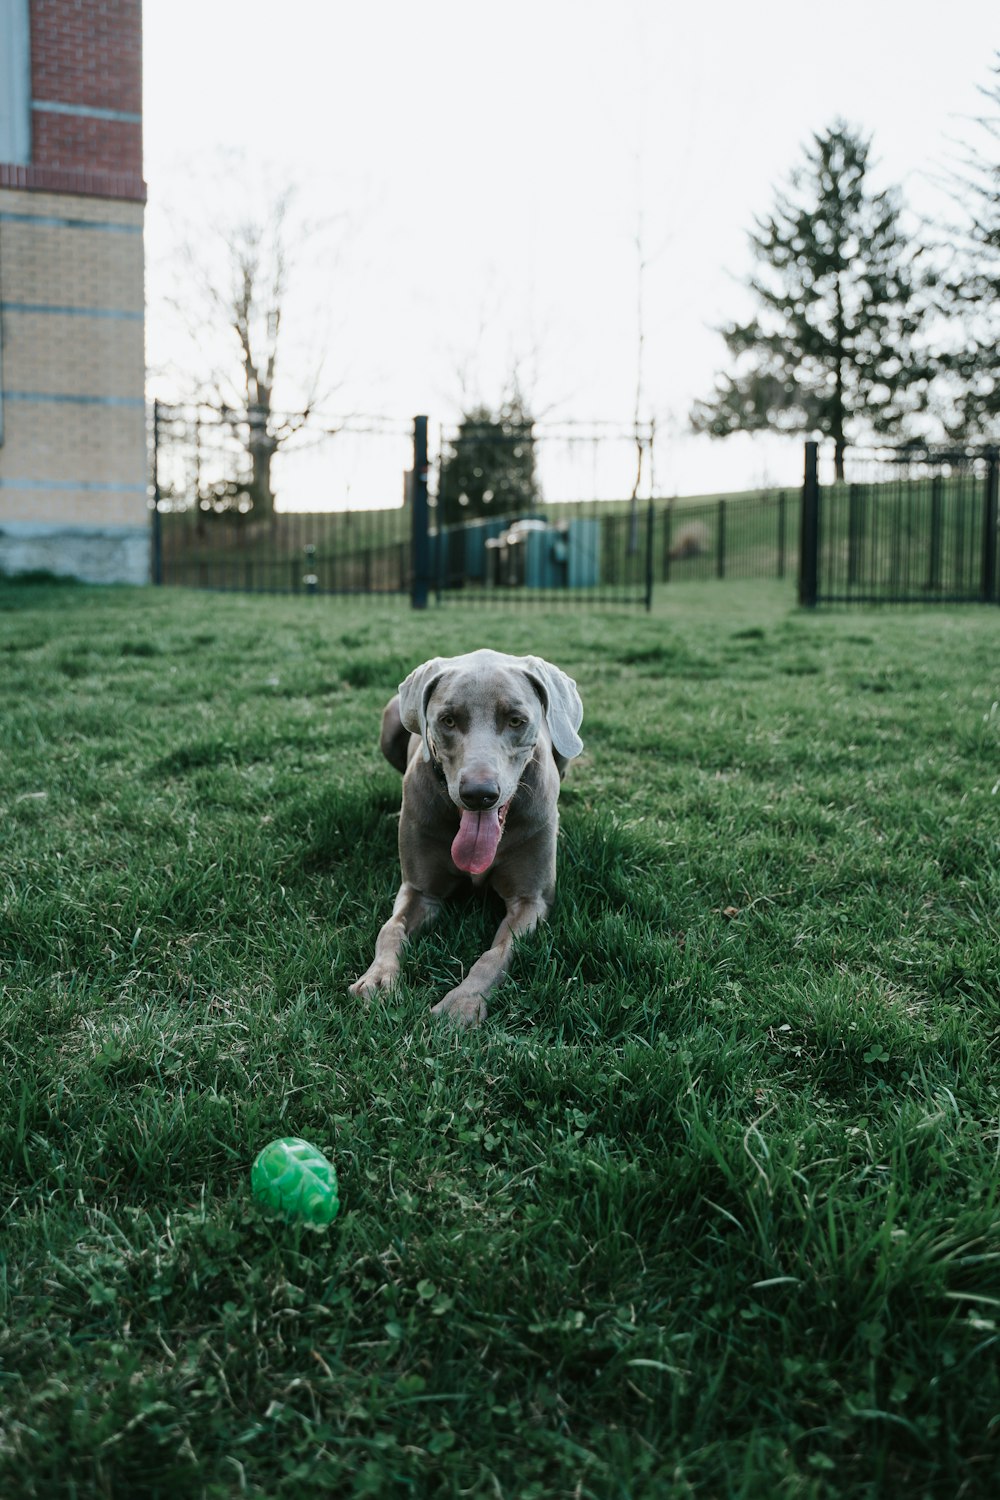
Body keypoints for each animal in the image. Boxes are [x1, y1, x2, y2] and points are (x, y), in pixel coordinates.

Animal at [352, 651, 587, 1026]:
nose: (479, 794)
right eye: (447, 720)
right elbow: (391, 928)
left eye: (516, 720)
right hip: (391, 719)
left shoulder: (530, 901)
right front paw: (377, 978)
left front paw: (462, 1002)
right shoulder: (420, 891)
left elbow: (496, 954)